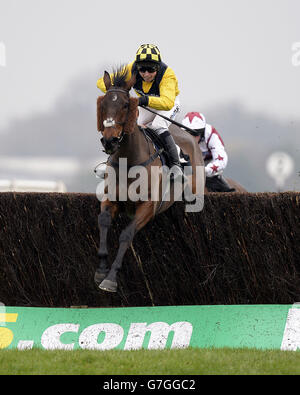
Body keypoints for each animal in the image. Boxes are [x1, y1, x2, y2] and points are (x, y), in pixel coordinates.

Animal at [95, 66, 205, 292]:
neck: (129, 162)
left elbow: (127, 234)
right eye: (104, 104)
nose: (109, 141)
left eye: (126, 104)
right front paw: (100, 270)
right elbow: (103, 222)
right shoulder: (111, 198)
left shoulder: (148, 206)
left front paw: (110, 278)